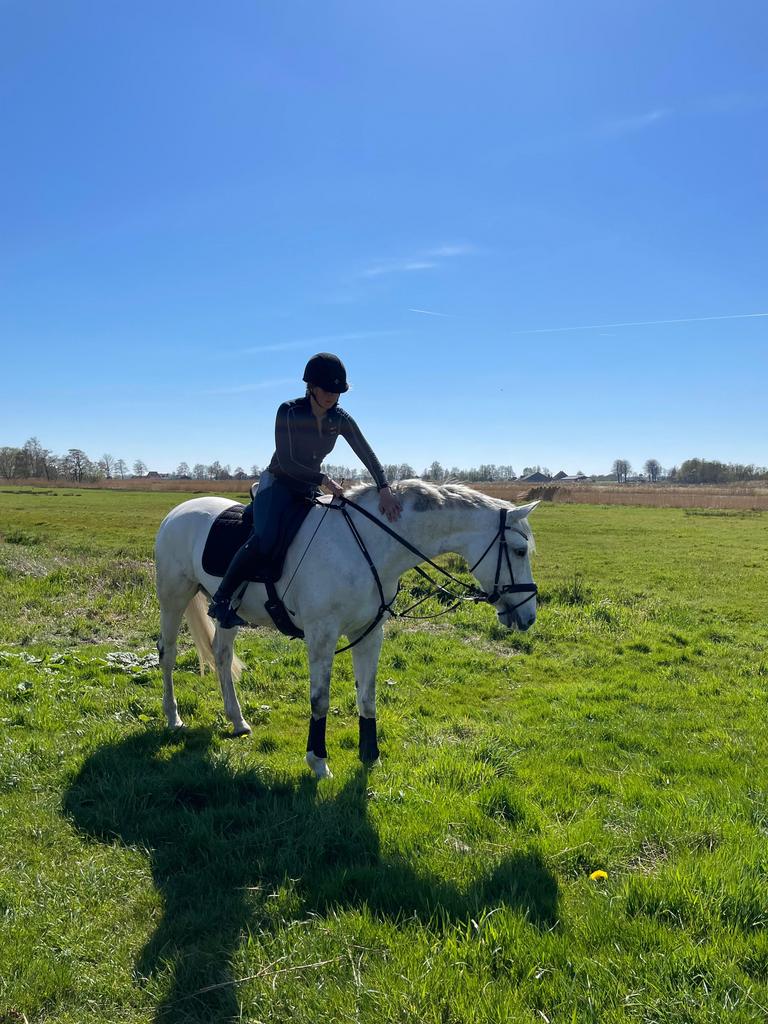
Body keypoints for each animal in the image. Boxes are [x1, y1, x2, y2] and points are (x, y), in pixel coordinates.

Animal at [154, 479, 539, 779]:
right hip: (173, 598)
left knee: (221, 656)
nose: (529, 616)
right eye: (520, 550)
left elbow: (367, 697)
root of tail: (178, 512)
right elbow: (320, 700)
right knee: (167, 655)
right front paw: (318, 761)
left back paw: (237, 721)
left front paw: (370, 755)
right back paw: (173, 717)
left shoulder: (369, 633)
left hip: (228, 614)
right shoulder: (322, 636)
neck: (367, 547)